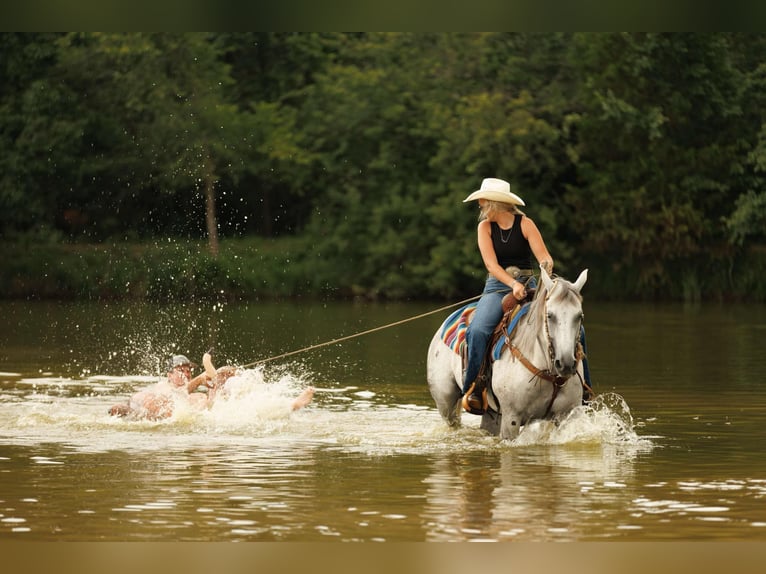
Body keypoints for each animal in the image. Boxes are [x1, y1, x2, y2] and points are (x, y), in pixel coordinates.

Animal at [426, 266, 588, 441]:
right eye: (550, 315)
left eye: (579, 316)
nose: (565, 364)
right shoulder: (511, 418)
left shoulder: (567, 415)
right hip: (445, 402)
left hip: (492, 413)